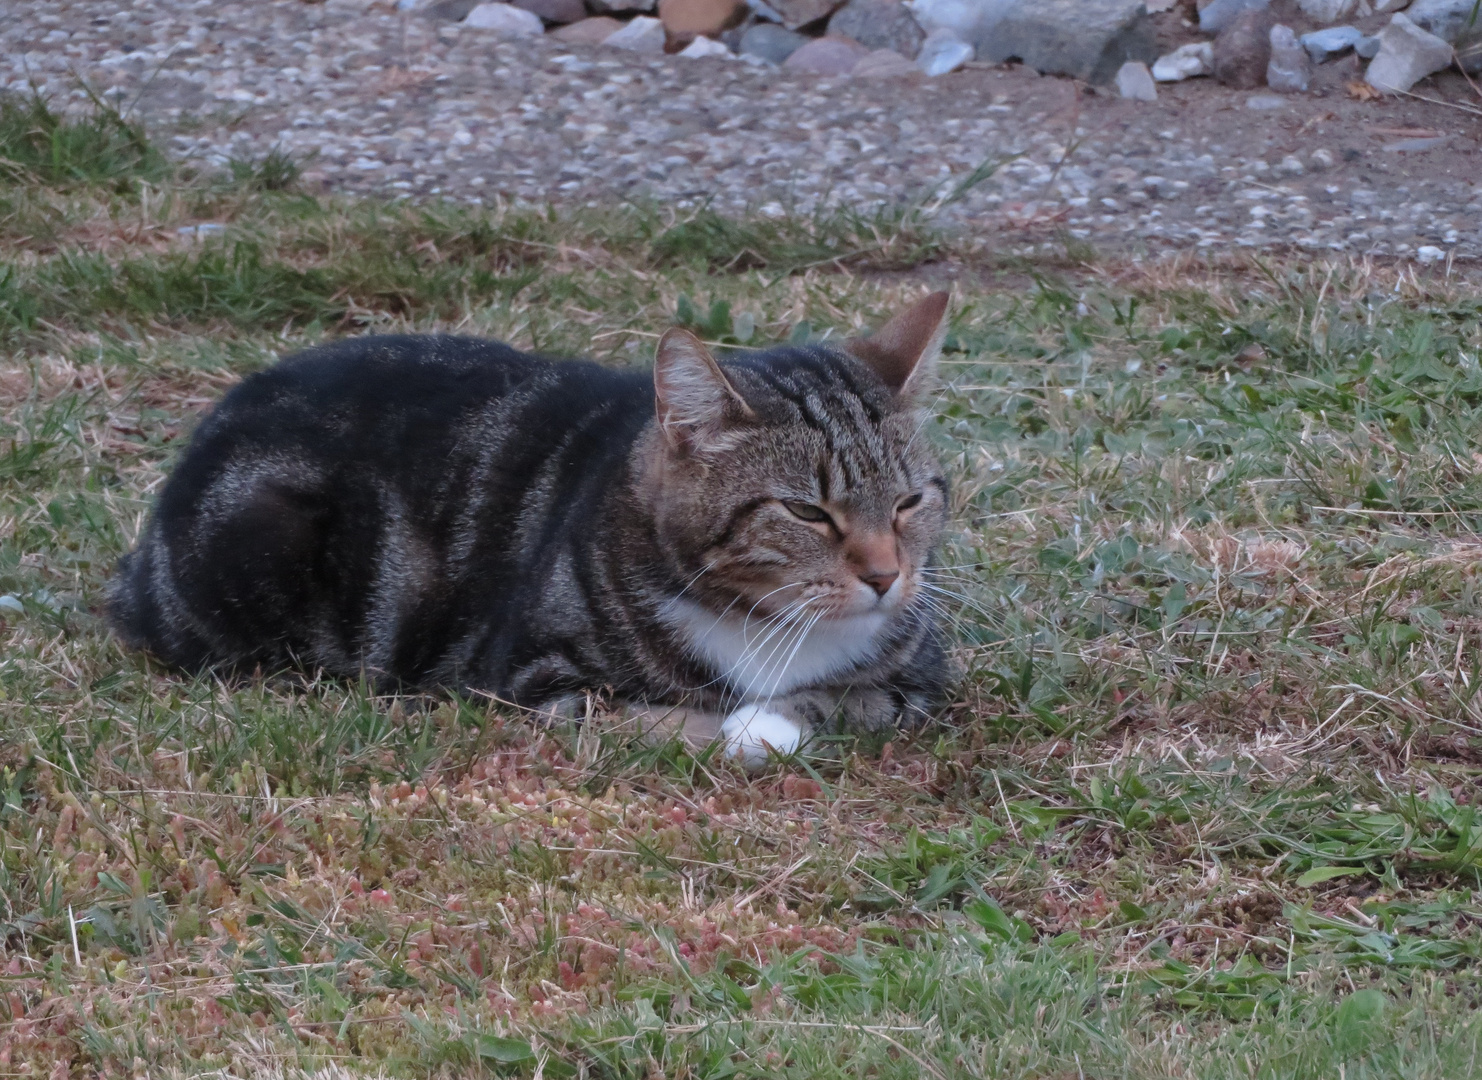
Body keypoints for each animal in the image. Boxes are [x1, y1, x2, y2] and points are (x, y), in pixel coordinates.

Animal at [109, 285, 954, 758]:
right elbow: (646, 716)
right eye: (807, 510)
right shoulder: (530, 679)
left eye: (910, 503)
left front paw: (778, 717)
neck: (762, 621)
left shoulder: (920, 685)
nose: (887, 577)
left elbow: (854, 701)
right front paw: (748, 728)